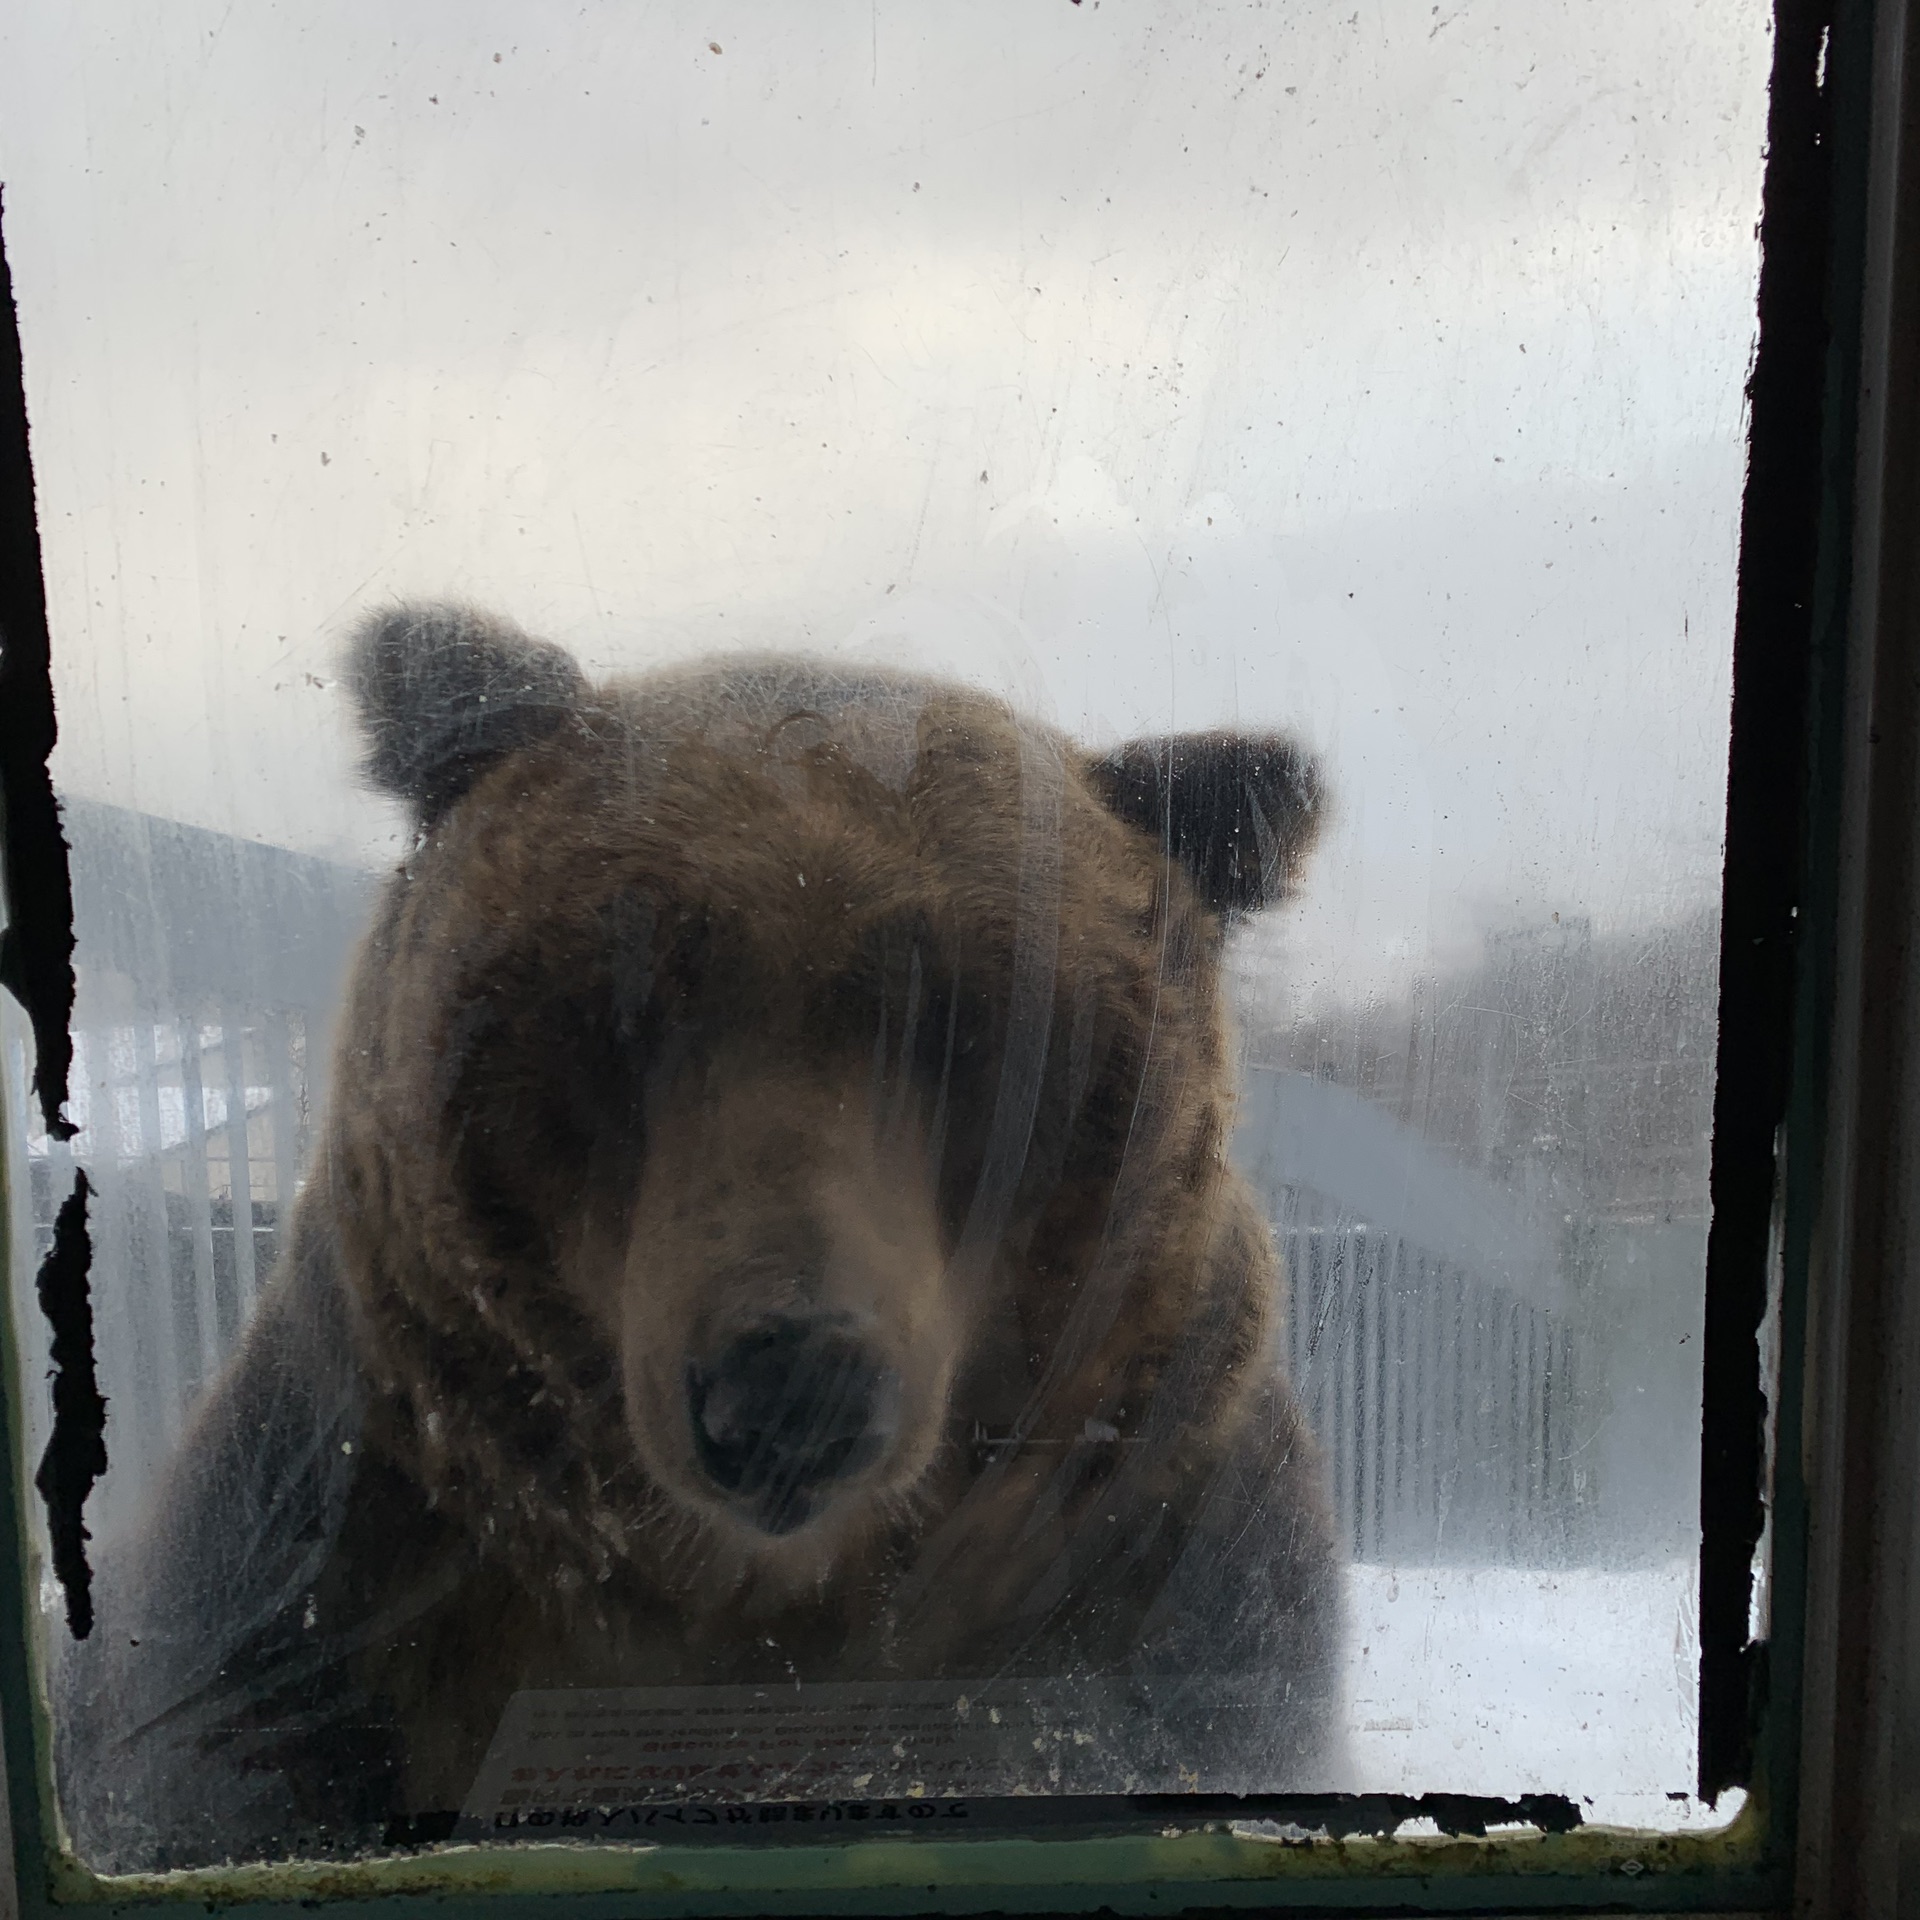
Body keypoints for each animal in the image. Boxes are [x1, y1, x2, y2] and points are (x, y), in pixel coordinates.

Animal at [63, 606, 1351, 1866]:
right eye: (635, 990)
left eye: (970, 1025)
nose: (793, 1386)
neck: (751, 1601)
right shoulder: (332, 1579)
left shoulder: (1164, 1572)